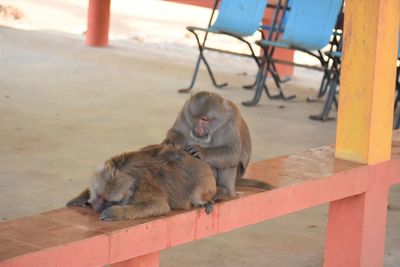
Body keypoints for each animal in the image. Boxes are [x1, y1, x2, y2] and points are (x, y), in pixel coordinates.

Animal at [66, 146, 217, 221]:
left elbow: (159, 205)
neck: (126, 171)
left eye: (109, 201)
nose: (96, 206)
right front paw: (82, 197)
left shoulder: (142, 189)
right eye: (98, 195)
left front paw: (116, 212)